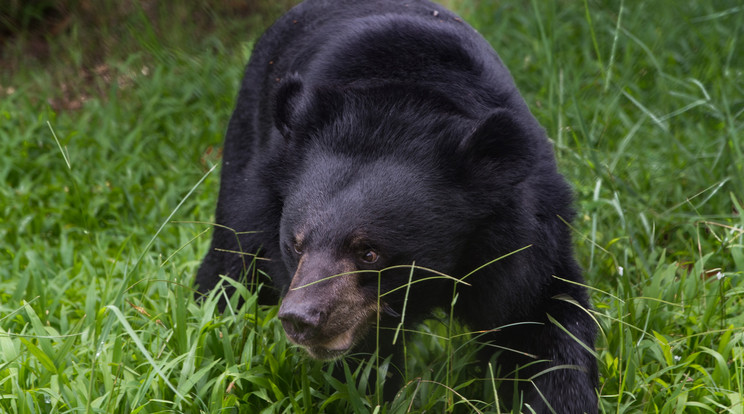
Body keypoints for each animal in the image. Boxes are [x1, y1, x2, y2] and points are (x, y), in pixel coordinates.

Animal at [196, 0, 600, 410]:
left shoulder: (523, 232)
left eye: (369, 253)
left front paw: (563, 399)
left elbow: (542, 317)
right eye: (296, 245)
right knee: (230, 264)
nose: (301, 319)